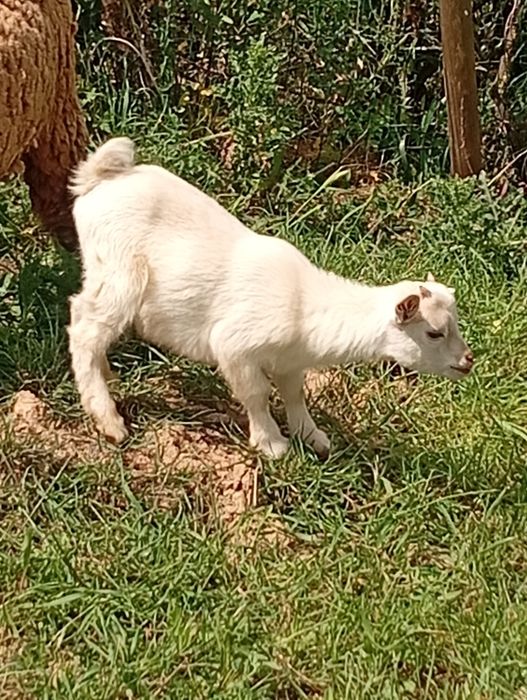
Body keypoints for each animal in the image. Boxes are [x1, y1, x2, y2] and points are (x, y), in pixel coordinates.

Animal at [68, 138, 474, 458]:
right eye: (434, 332)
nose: (468, 361)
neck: (304, 305)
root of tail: (100, 177)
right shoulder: (235, 346)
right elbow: (256, 393)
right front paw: (273, 444)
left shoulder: (291, 360)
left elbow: (294, 394)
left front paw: (315, 438)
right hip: (120, 272)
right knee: (84, 329)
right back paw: (109, 420)